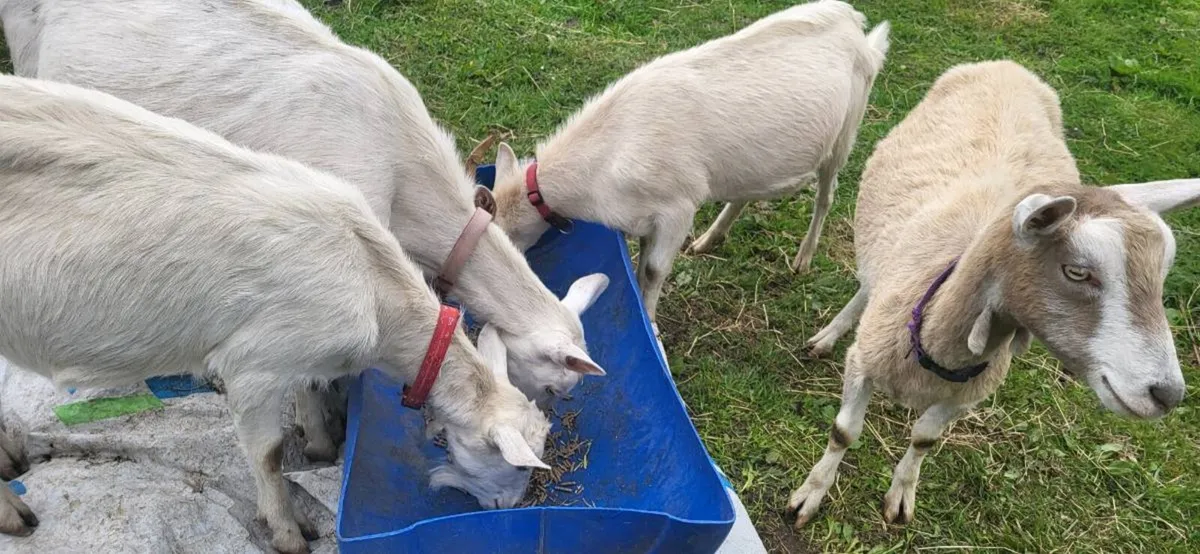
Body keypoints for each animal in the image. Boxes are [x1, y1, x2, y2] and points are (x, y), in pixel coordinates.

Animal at [0, 75, 551, 554]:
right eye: (521, 466)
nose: (506, 507)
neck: (376, 289)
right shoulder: (254, 362)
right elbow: (266, 452)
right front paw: (287, 530)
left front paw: (319, 446)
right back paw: (15, 515)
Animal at [487, 0, 889, 321]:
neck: (606, 161)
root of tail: (855, 22)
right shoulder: (644, 217)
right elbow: (640, 265)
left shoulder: (678, 207)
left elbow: (653, 269)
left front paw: (650, 321)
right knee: (746, 192)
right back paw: (710, 238)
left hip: (846, 131)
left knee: (827, 194)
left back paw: (803, 258)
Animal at [787, 60, 1196, 528]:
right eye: (1077, 271)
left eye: (1163, 273)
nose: (1167, 395)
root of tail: (1010, 66)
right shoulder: (865, 365)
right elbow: (843, 432)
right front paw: (810, 494)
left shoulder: (964, 397)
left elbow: (924, 439)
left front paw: (902, 494)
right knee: (868, 286)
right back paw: (831, 334)